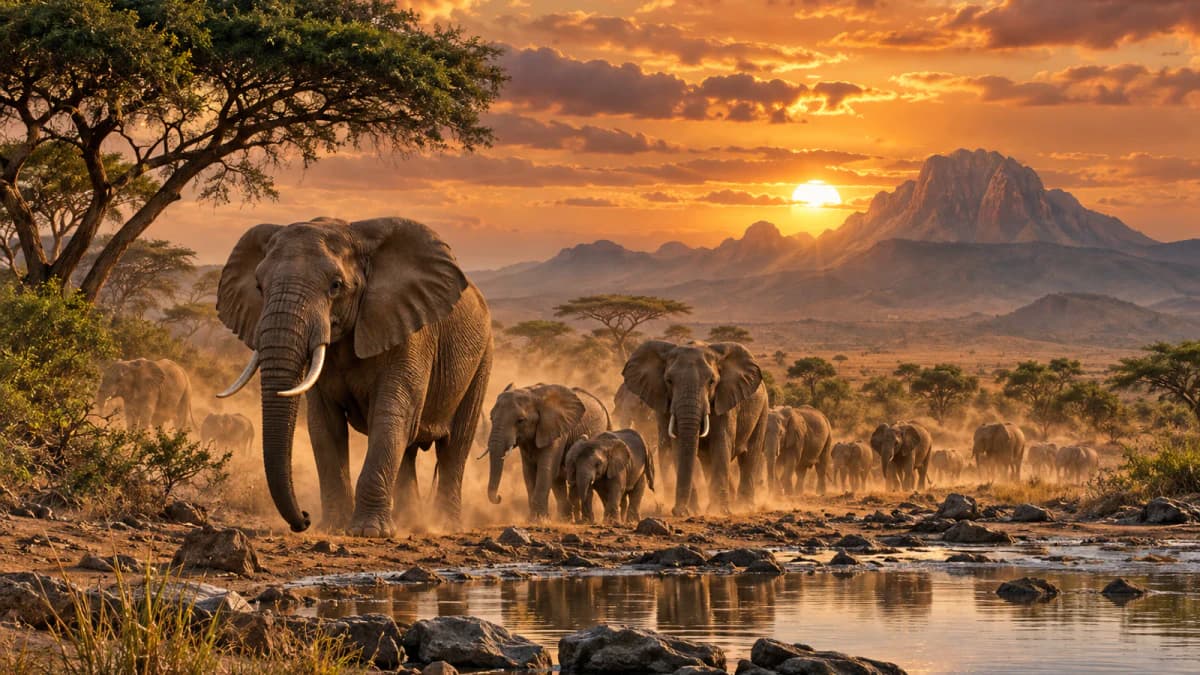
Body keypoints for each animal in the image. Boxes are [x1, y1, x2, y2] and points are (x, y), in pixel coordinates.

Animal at [214, 217, 492, 536]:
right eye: (259, 287)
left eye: (335, 286)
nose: (304, 519)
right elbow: (324, 425)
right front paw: (333, 527)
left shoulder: (411, 334)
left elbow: (390, 415)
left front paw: (368, 532)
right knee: (408, 451)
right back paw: (409, 521)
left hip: (483, 357)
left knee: (454, 447)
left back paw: (443, 525)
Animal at [483, 383, 610, 520]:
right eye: (491, 418)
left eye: (520, 420)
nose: (499, 497)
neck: (533, 393)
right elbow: (528, 472)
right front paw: (533, 519)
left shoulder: (557, 431)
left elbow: (546, 469)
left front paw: (540, 520)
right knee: (559, 481)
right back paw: (565, 519)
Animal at [622, 340, 768, 516]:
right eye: (669, 381)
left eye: (711, 381)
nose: (676, 511)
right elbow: (679, 448)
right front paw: (691, 512)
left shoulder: (724, 401)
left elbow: (721, 445)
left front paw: (719, 512)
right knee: (708, 462)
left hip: (763, 408)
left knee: (750, 455)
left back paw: (744, 507)